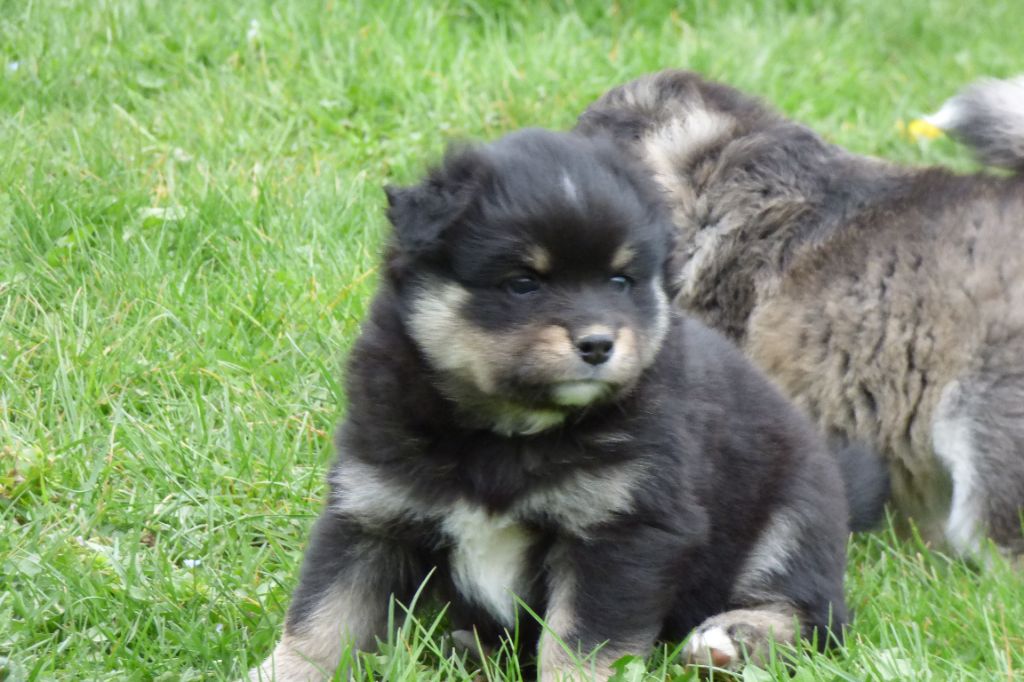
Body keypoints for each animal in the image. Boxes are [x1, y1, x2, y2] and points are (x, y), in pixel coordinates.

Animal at [249, 128, 886, 680]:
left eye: (620, 281)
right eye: (523, 283)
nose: (599, 344)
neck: (505, 433)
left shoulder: (623, 529)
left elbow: (581, 641)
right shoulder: (371, 511)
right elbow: (322, 617)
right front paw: (280, 672)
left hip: (793, 514)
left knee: (815, 617)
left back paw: (728, 639)